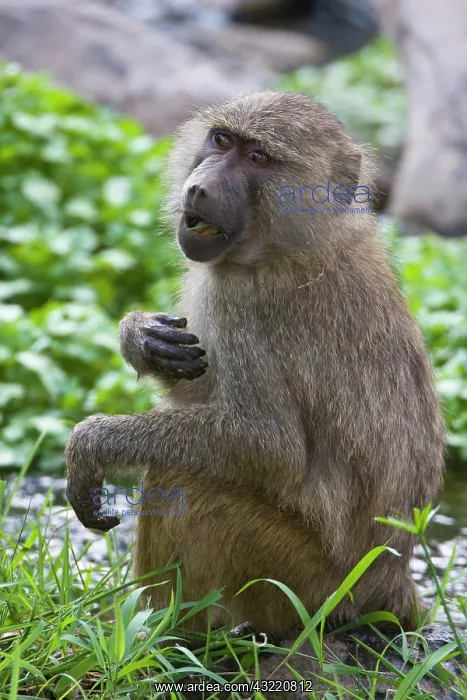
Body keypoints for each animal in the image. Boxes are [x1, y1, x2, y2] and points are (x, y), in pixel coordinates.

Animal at [65, 91, 445, 634]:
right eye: (222, 140)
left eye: (258, 157)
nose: (199, 188)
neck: (289, 241)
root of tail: (392, 583)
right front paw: (141, 337)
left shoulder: (245, 301)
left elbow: (265, 444)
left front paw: (91, 443)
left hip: (306, 584)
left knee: (181, 479)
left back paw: (166, 633)